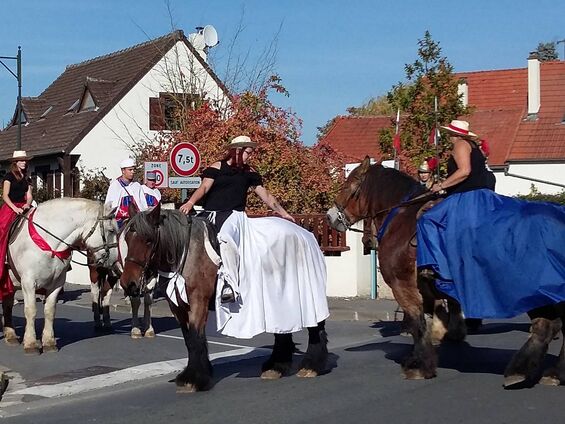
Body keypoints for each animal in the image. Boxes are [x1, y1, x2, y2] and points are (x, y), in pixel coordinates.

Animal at [2, 199, 118, 354]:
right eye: (111, 231)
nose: (115, 260)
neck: (48, 243)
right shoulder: (28, 283)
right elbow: (31, 310)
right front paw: (31, 344)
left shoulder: (56, 284)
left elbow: (50, 311)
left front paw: (49, 342)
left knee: (7, 304)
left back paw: (11, 335)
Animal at [121, 204, 328, 392]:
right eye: (127, 239)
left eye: (148, 240)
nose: (128, 283)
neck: (187, 253)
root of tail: (305, 233)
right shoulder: (177, 306)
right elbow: (189, 339)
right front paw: (194, 374)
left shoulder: (198, 301)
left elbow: (195, 337)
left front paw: (195, 379)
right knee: (282, 331)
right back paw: (276, 367)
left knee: (316, 329)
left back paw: (311, 366)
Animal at [324, 157, 564, 390]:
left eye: (347, 184)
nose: (330, 216)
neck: (402, 218)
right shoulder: (429, 291)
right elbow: (430, 320)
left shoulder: (403, 286)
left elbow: (418, 324)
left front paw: (420, 366)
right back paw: (548, 372)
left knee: (545, 326)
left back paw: (525, 371)